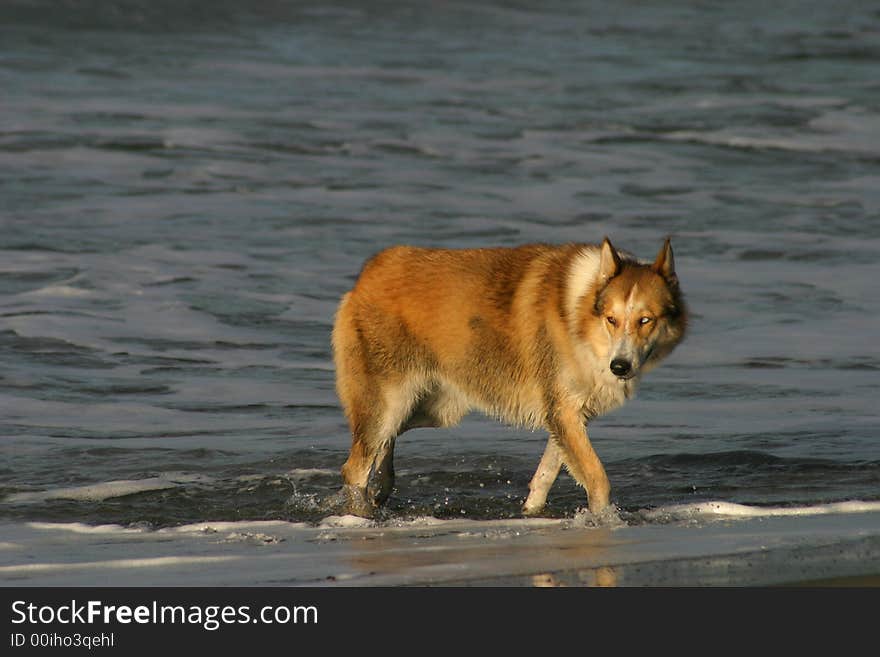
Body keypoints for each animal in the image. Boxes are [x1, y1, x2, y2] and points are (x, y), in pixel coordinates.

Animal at [330, 238, 688, 516]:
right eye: (612, 319)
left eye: (646, 320)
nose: (620, 367)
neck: (580, 317)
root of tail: (370, 272)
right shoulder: (563, 412)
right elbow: (598, 477)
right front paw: (605, 519)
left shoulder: (566, 415)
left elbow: (546, 474)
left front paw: (531, 512)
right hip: (390, 402)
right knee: (356, 466)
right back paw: (362, 511)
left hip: (433, 408)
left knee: (382, 444)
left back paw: (380, 488)